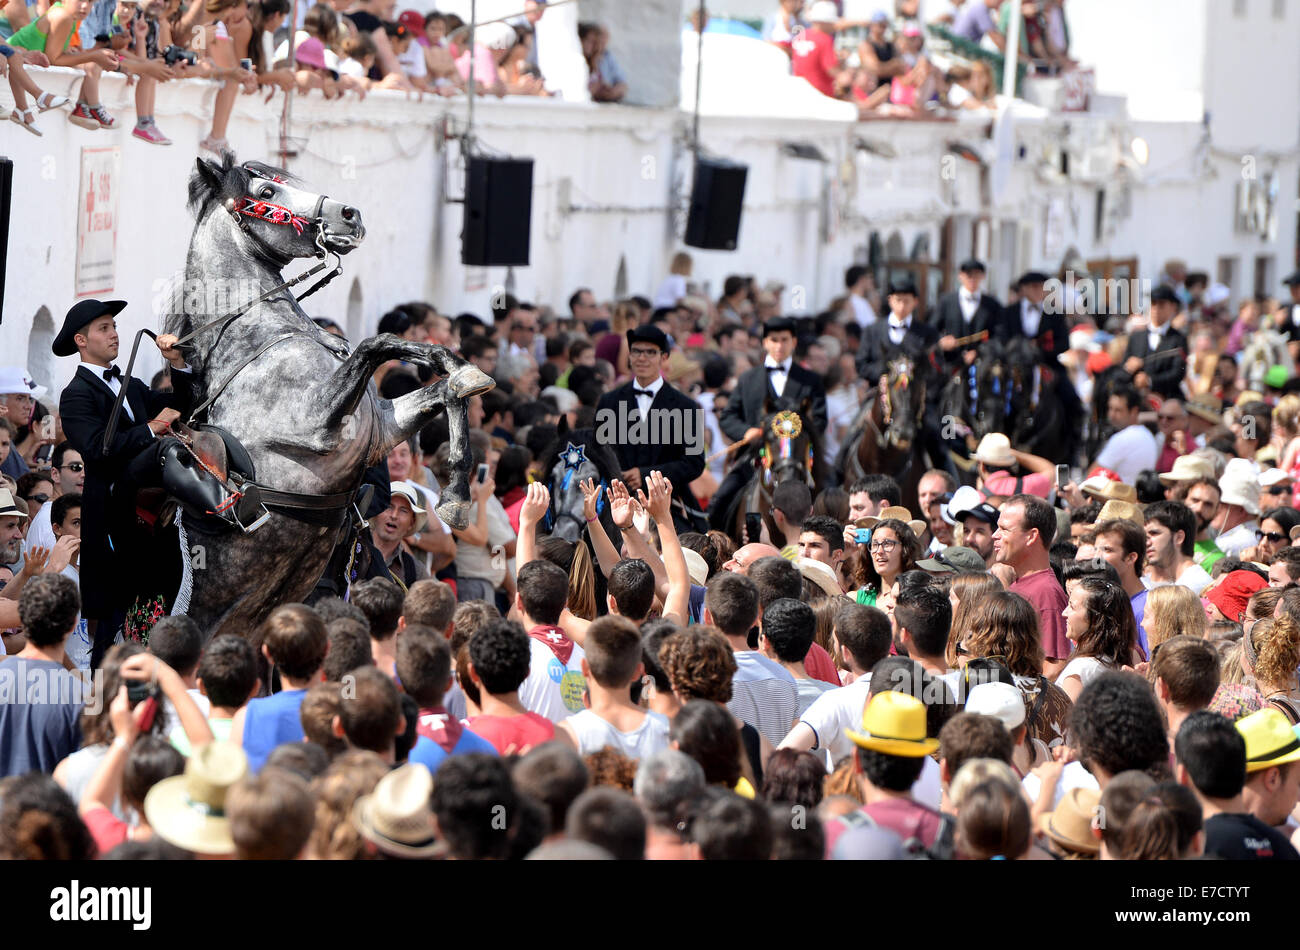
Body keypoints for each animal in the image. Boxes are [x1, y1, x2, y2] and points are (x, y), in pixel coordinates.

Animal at [170, 155, 493, 641]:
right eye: (266, 193)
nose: (350, 215)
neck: (259, 338)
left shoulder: (380, 428)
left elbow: (440, 385)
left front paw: (456, 491)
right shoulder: (315, 423)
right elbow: (377, 343)